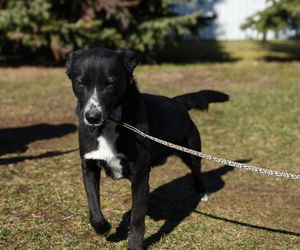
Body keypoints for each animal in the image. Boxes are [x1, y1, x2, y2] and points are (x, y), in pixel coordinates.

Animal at [66, 47, 230, 250]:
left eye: (110, 84)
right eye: (81, 83)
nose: (92, 117)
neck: (112, 124)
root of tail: (177, 102)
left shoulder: (140, 174)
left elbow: (138, 218)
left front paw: (135, 245)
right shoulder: (88, 166)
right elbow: (93, 206)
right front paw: (104, 227)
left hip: (190, 151)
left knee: (196, 170)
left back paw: (201, 191)